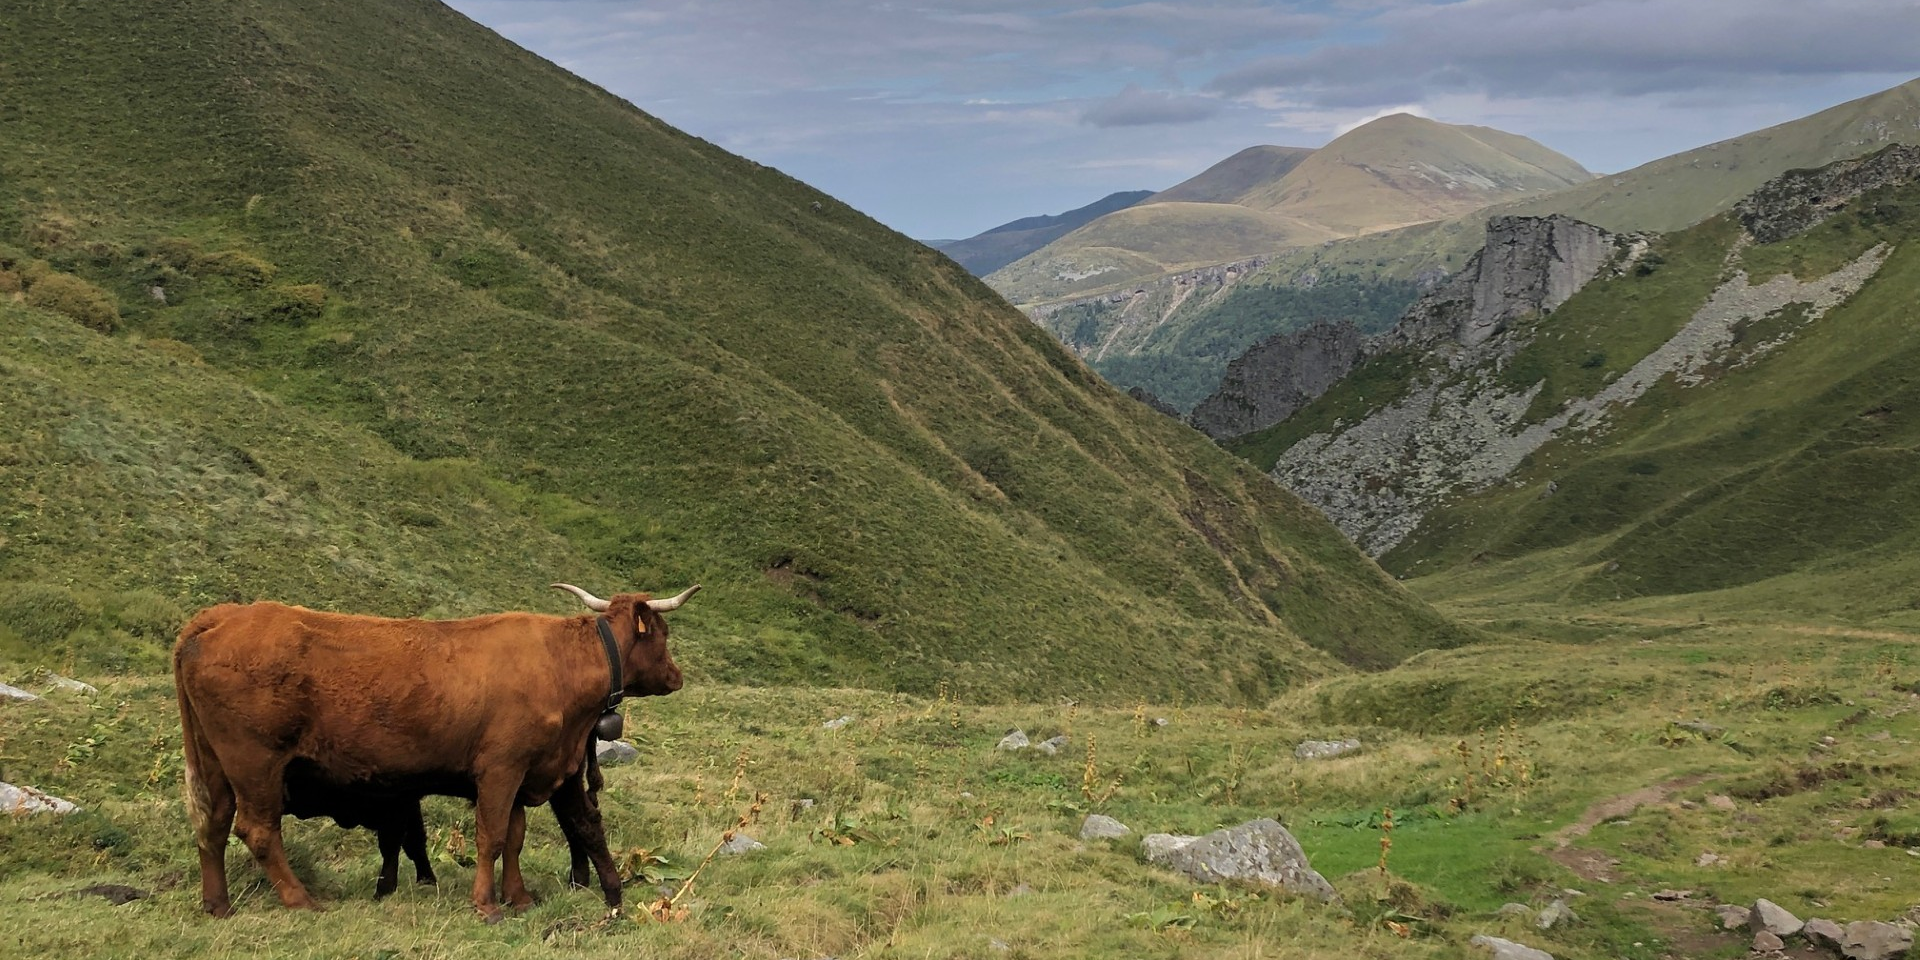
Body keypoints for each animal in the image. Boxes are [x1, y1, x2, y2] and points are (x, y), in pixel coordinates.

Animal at [174, 579, 691, 917]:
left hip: (216, 763)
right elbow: (492, 837)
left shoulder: (523, 772)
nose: (677, 676)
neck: (561, 663)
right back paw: (301, 899)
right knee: (258, 831)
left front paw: (520, 898)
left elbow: (515, 839)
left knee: (212, 825)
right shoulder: (500, 770)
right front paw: (487, 904)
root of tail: (223, 615)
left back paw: (218, 904)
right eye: (664, 636)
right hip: (255, 763)